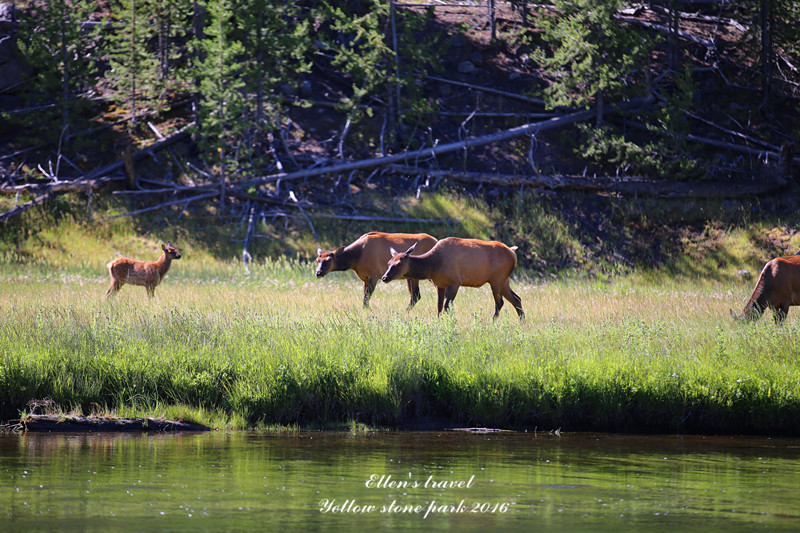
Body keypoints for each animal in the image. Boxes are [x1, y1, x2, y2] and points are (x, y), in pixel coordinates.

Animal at [382, 237, 524, 320]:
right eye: (389, 262)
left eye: (398, 264)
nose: (384, 277)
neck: (433, 266)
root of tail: (513, 253)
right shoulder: (439, 285)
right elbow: (439, 307)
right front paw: (439, 322)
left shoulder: (455, 282)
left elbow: (447, 306)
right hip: (504, 281)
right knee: (516, 299)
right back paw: (522, 322)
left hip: (496, 280)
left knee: (499, 303)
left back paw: (492, 323)